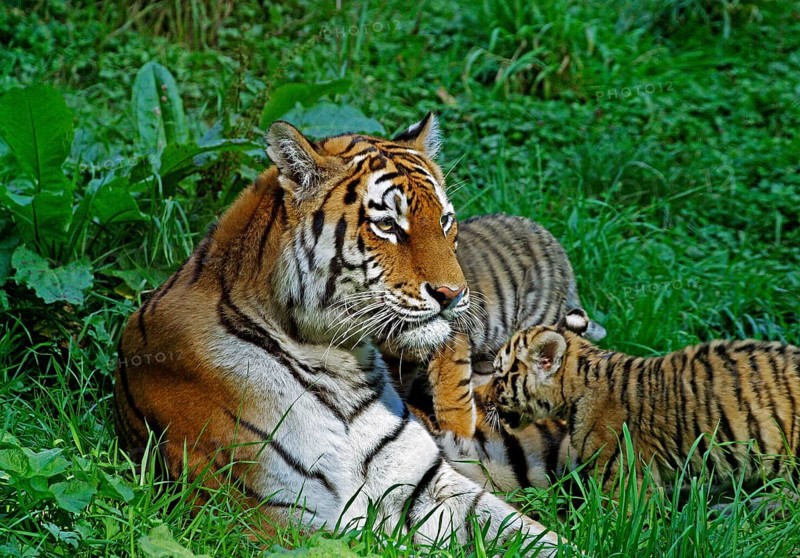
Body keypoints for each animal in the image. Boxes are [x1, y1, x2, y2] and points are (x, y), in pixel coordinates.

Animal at [113, 113, 564, 554]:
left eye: (444, 220)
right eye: (388, 225)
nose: (453, 294)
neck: (337, 363)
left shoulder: (428, 484)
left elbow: (535, 535)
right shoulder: (270, 517)